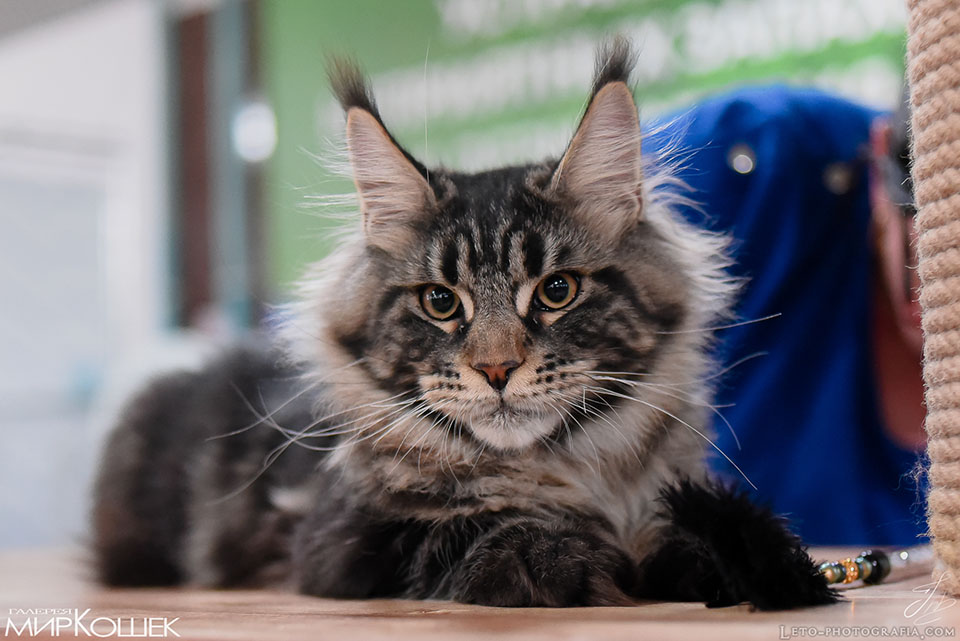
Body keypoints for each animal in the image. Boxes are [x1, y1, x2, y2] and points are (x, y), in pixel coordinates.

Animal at [94, 37, 836, 608]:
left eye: (557, 290)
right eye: (440, 302)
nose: (497, 368)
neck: (570, 471)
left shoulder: (658, 491)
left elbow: (681, 524)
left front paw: (758, 560)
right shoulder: (338, 540)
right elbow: (478, 527)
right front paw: (572, 555)